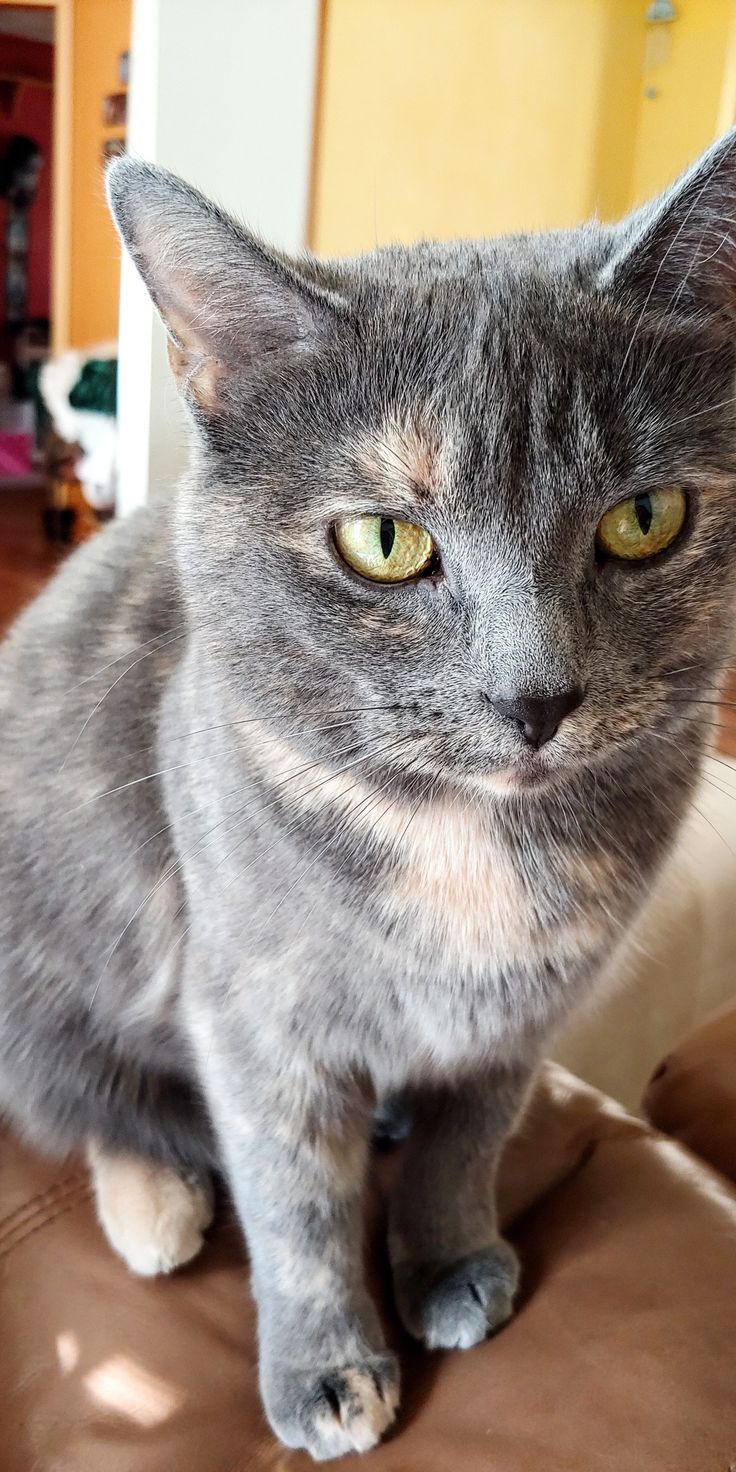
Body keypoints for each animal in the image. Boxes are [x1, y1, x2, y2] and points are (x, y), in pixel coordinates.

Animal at [1, 129, 736, 1460]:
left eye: (644, 518)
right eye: (383, 543)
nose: (536, 697)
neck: (461, 832)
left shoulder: (519, 1018)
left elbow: (466, 1141)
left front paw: (447, 1260)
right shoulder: (250, 1008)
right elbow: (293, 1197)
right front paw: (328, 1366)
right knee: (85, 1095)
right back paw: (156, 1200)